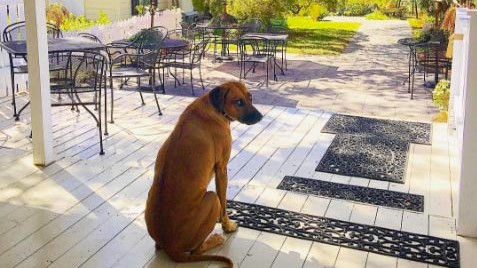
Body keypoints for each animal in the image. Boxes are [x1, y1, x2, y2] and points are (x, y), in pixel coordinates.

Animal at [145, 81, 264, 266]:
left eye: (250, 97)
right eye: (238, 102)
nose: (260, 117)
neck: (214, 107)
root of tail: (171, 247)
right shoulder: (222, 169)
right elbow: (224, 204)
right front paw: (228, 226)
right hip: (211, 199)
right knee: (197, 249)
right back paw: (214, 239)